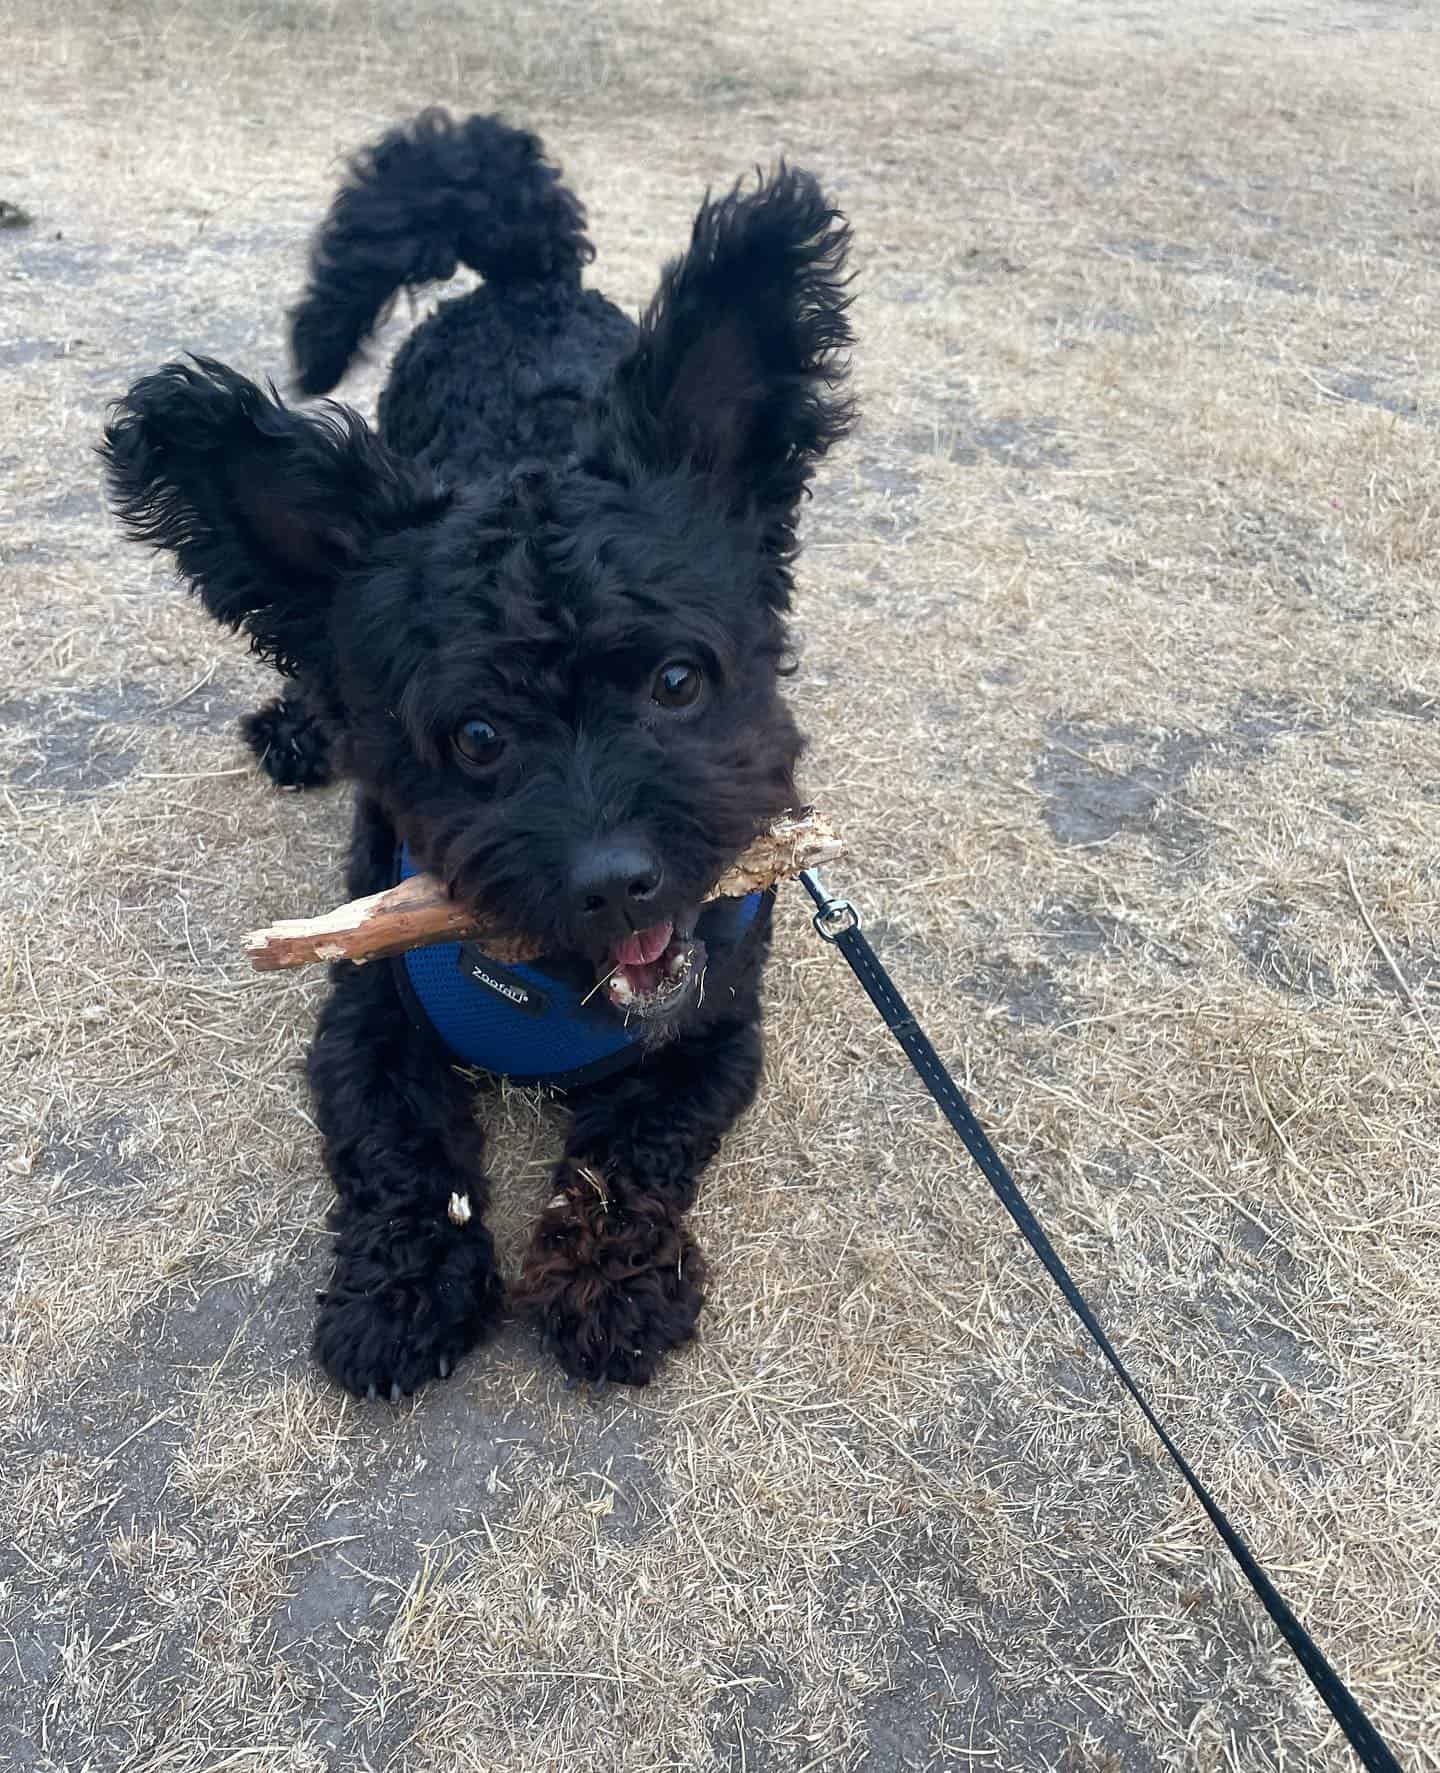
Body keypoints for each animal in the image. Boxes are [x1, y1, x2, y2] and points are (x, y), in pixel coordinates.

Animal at [104, 110, 854, 1397]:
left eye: (677, 680)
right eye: (478, 738)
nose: (618, 881)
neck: (553, 982)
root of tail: (524, 280)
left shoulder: (716, 1033)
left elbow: (639, 1149)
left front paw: (610, 1282)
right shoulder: (365, 1016)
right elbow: (400, 1148)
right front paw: (404, 1292)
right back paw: (300, 725)